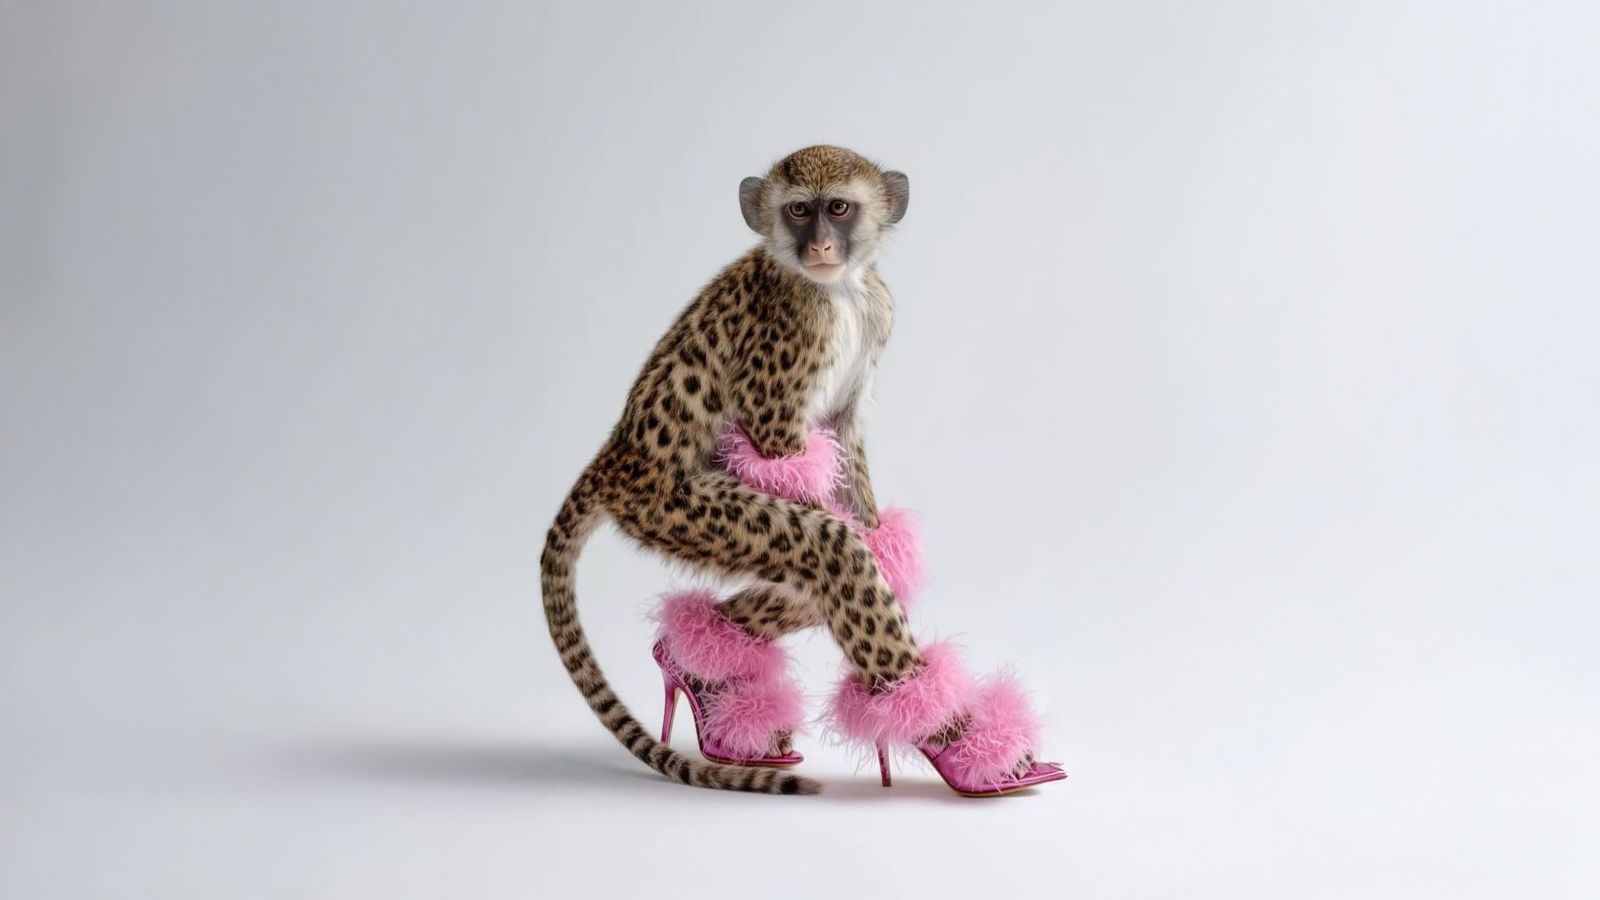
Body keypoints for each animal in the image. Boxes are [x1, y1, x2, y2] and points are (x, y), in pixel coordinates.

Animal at [540, 146, 1043, 795]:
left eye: (839, 208)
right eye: (799, 210)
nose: (821, 244)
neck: (841, 291)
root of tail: (615, 455)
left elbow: (846, 447)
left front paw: (883, 535)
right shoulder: (786, 367)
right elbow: (783, 451)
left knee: (825, 579)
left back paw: (700, 674)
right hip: (674, 509)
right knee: (835, 552)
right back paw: (963, 743)